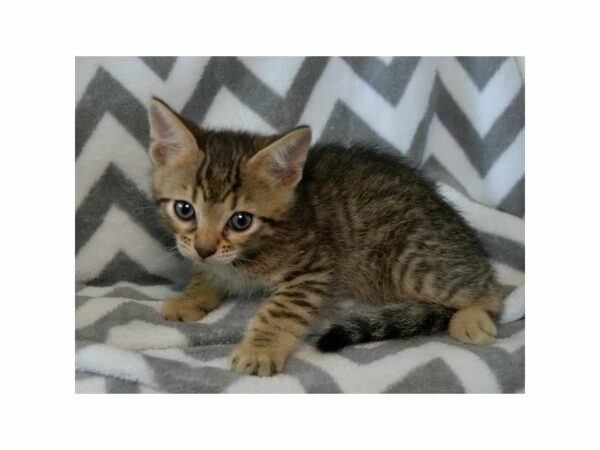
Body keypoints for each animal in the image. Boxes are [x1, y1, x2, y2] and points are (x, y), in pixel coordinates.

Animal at [149, 97, 502, 376]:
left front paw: (260, 350)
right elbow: (205, 274)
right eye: (184, 209)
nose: (204, 248)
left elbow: (282, 309)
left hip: (411, 261)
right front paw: (192, 296)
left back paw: (471, 317)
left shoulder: (315, 270)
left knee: (492, 292)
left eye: (240, 220)